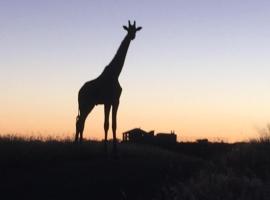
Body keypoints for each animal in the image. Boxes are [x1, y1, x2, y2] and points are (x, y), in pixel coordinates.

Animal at [74, 20, 141, 152]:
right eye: (128, 30)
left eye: (135, 30)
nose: (132, 36)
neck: (115, 73)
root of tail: (78, 92)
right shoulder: (108, 101)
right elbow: (106, 125)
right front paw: (106, 149)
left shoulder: (115, 101)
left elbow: (114, 125)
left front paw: (114, 150)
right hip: (85, 104)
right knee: (80, 123)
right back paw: (77, 146)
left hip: (88, 106)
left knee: (80, 122)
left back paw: (78, 145)